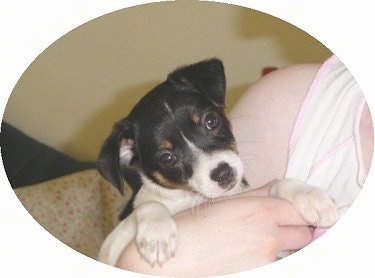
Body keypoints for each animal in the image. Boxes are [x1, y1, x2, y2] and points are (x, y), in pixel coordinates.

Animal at [95, 58, 340, 268]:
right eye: (167, 158)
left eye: (211, 121)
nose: (224, 173)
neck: (191, 199)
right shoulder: (114, 244)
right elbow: (147, 205)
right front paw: (157, 234)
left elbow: (279, 183)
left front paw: (311, 197)